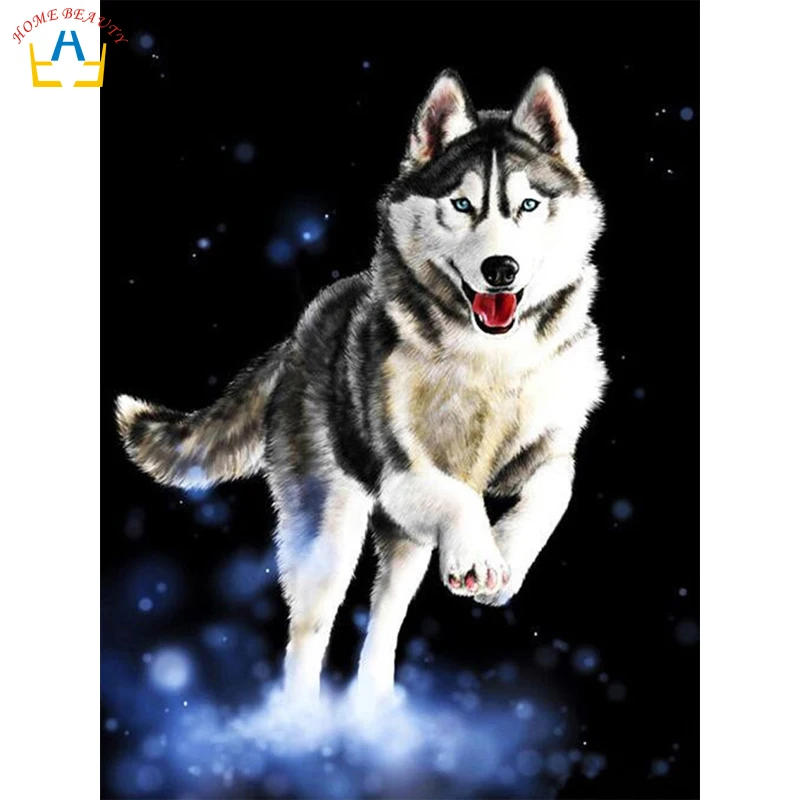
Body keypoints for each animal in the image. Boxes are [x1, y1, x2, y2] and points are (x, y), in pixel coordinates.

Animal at [116, 69, 607, 704]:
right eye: (462, 204)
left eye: (528, 204)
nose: (501, 269)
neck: (486, 358)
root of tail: (300, 332)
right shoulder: (401, 471)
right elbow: (460, 496)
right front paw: (481, 552)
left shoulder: (547, 448)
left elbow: (556, 491)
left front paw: (506, 556)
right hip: (330, 535)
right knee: (308, 633)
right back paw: (302, 719)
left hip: (403, 545)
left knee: (386, 617)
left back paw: (374, 703)